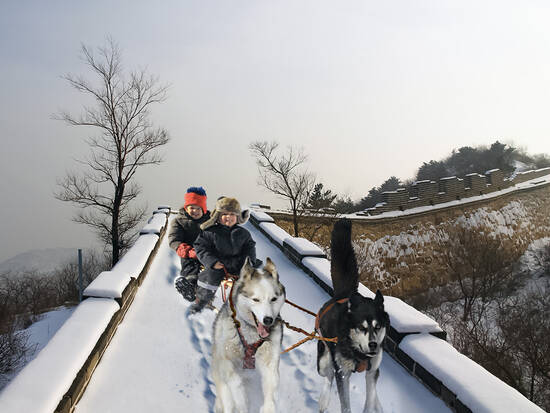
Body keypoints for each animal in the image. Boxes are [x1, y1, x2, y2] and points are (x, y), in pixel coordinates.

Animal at [212, 256, 286, 410]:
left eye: (273, 299)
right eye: (256, 299)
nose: (268, 320)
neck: (251, 335)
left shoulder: (270, 363)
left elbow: (271, 387)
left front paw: (268, 408)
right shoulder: (225, 360)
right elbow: (235, 381)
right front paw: (242, 400)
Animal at [316, 217, 390, 410]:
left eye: (377, 327)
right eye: (361, 327)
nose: (373, 345)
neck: (359, 353)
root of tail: (343, 294)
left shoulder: (372, 370)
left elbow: (370, 398)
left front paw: (373, 405)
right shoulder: (343, 372)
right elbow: (345, 404)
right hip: (323, 360)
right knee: (328, 375)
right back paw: (324, 400)